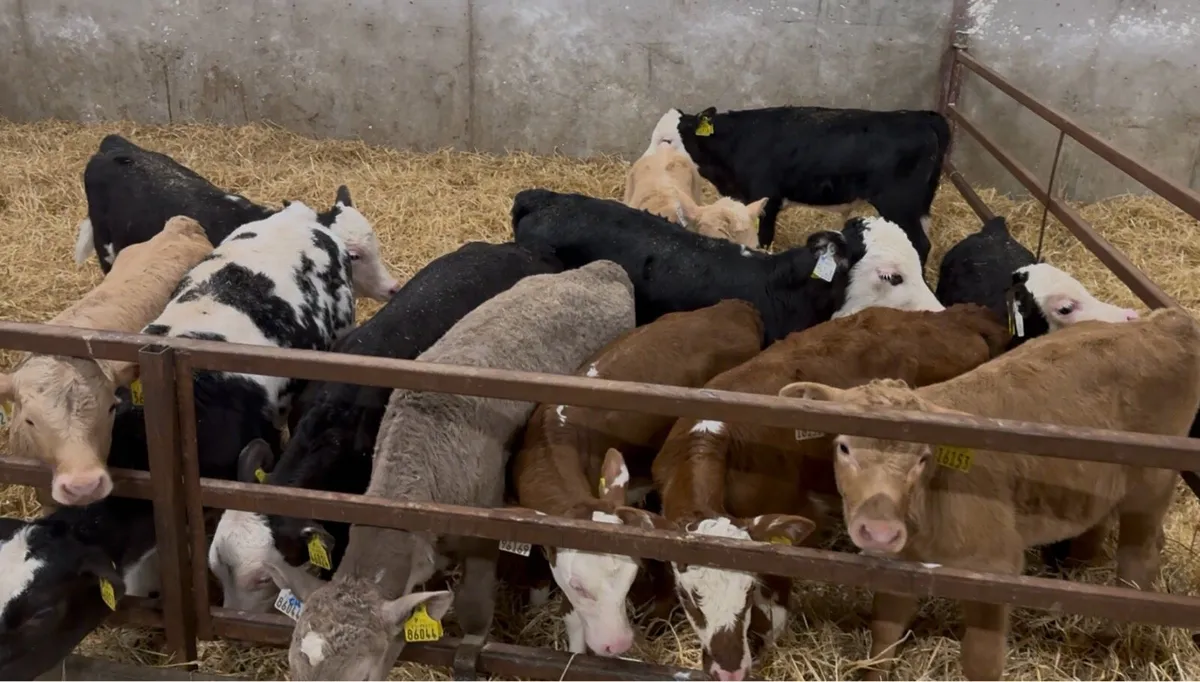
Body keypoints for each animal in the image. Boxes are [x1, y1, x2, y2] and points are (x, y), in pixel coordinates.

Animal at [646, 106, 950, 262]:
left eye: (666, 140)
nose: (644, 163)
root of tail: (921, 116)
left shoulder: (767, 200)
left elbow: (763, 239)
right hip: (917, 207)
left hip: (899, 204)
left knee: (921, 244)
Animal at [781, 306, 1200, 680]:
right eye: (844, 447)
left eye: (923, 457)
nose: (880, 531)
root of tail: (1167, 321)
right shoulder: (900, 565)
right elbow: (884, 632)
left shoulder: (995, 568)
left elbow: (981, 662)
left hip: (1150, 487)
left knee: (1138, 559)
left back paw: (1108, 640)